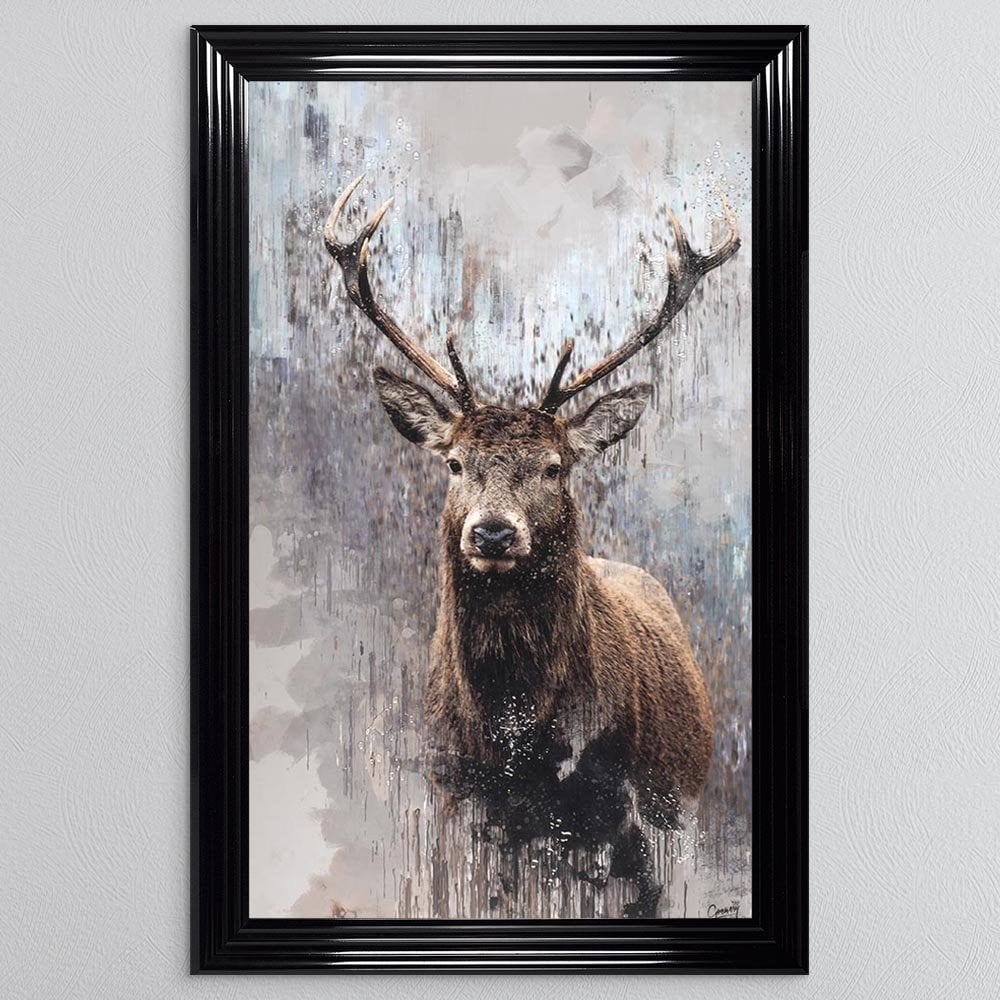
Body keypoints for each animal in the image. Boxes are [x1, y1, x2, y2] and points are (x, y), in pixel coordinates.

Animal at [322, 174, 740, 916]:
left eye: (554, 466)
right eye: (454, 462)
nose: (492, 530)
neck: (517, 740)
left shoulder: (621, 805)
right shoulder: (458, 797)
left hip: (678, 800)